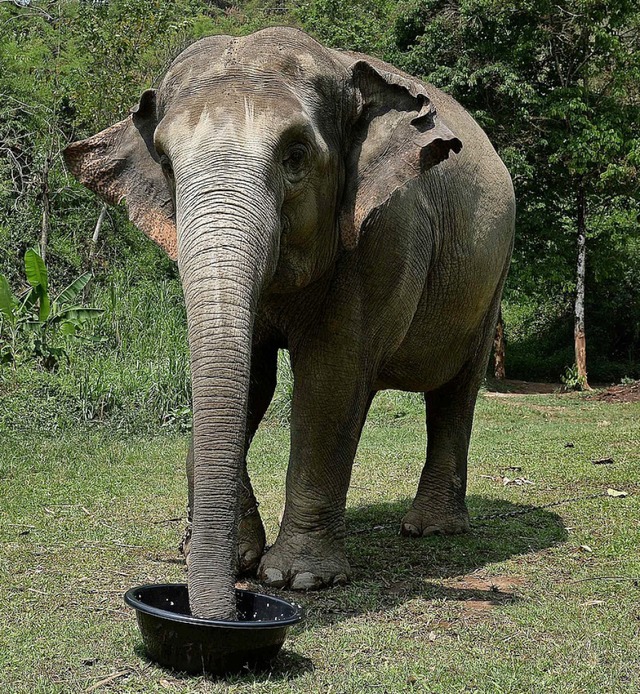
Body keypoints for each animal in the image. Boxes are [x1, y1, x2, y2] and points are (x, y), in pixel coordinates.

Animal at [65, 27, 516, 624]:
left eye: (296, 155)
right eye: (164, 160)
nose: (218, 612)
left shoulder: (383, 235)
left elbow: (331, 379)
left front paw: (298, 577)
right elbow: (249, 381)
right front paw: (234, 558)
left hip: (493, 276)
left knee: (456, 392)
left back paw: (430, 530)